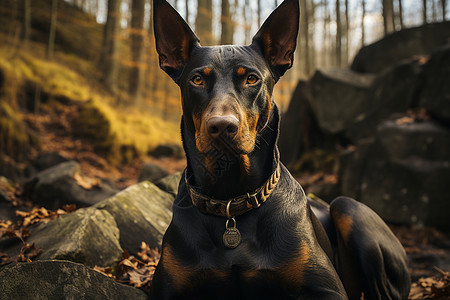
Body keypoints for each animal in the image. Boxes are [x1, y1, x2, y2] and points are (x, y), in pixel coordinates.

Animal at [151, 0, 412, 298]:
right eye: (197, 80)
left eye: (251, 79)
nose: (222, 126)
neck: (230, 204)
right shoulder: (167, 287)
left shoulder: (328, 288)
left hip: (349, 209)